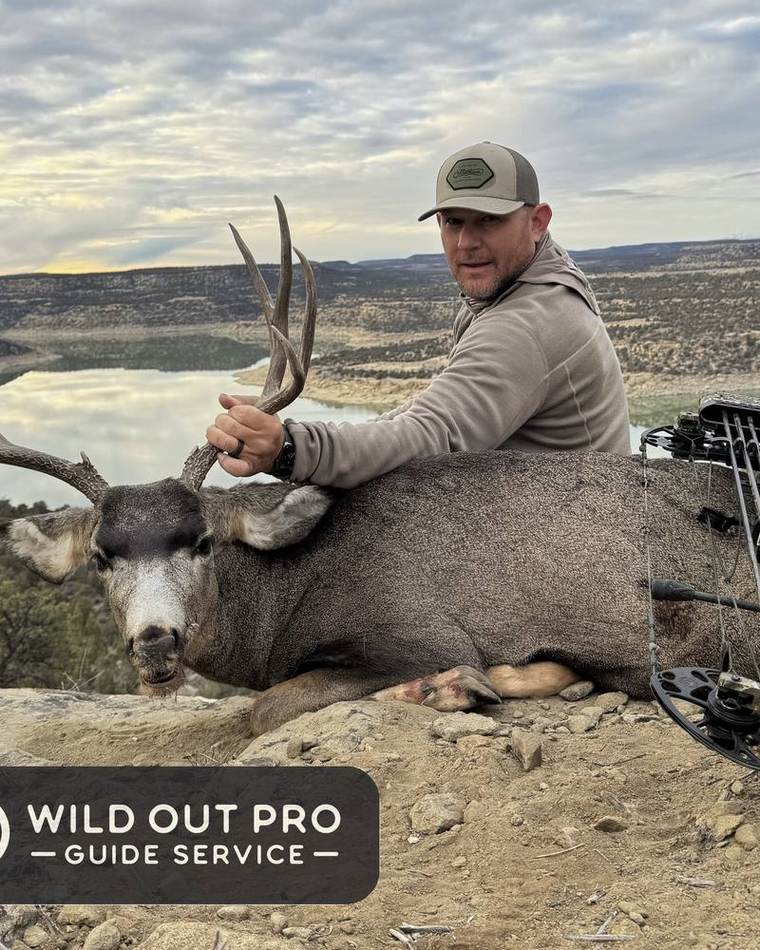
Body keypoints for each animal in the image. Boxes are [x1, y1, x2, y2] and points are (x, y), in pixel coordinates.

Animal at [1, 199, 758, 738]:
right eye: (102, 557)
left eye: (203, 542)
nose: (156, 642)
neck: (288, 594)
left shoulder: (415, 629)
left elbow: (264, 711)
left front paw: (459, 685)